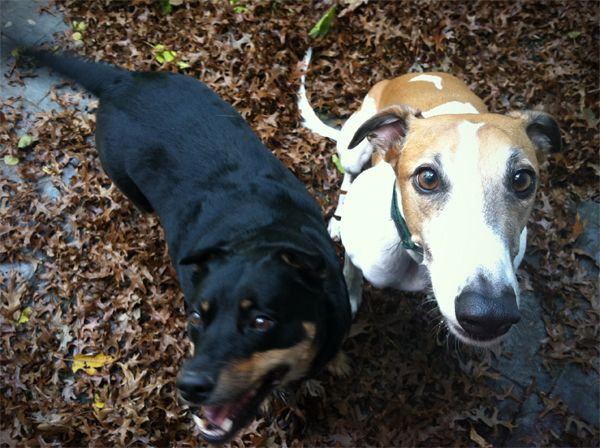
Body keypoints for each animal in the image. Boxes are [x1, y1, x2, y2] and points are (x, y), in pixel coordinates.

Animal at [28, 50, 350, 442]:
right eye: (196, 317)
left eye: (261, 321)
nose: (190, 386)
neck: (262, 233)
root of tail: (123, 79)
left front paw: (336, 362)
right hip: (124, 178)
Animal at [300, 50, 564, 348]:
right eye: (427, 178)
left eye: (522, 180)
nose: (490, 315)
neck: (416, 259)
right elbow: (351, 269)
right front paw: (350, 293)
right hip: (353, 149)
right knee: (349, 175)